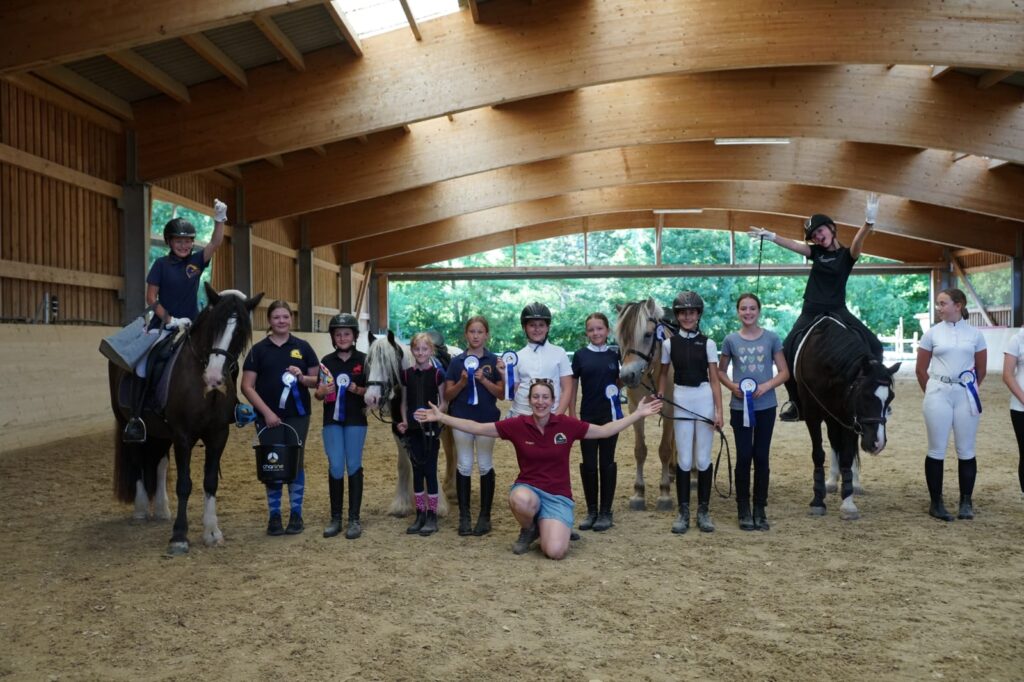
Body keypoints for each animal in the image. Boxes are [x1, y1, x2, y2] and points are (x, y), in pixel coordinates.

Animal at [110, 283, 263, 553]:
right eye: (214, 326)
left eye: (240, 332)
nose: (213, 378)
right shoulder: (183, 435)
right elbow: (184, 483)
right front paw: (179, 536)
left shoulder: (218, 434)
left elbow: (210, 481)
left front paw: (212, 532)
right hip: (128, 424)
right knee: (137, 460)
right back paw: (141, 509)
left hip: (161, 431)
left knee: (159, 463)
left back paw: (162, 509)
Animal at [363, 330, 458, 517]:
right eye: (369, 361)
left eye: (387, 363)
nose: (371, 398)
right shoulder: (399, 432)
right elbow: (404, 465)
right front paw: (403, 504)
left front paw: (438, 505)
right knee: (450, 453)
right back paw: (449, 487)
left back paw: (453, 490)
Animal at [615, 298, 678, 511]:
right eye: (619, 338)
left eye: (648, 334)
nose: (627, 375)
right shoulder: (635, 409)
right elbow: (640, 450)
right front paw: (638, 493)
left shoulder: (670, 408)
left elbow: (664, 449)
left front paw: (665, 493)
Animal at [793, 315, 899, 520]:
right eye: (865, 395)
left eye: (890, 397)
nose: (878, 443)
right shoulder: (812, 414)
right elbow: (818, 454)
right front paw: (818, 501)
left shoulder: (850, 419)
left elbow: (848, 456)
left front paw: (848, 503)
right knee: (834, 443)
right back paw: (832, 481)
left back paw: (853, 483)